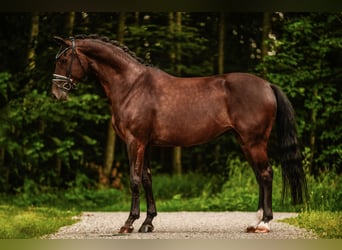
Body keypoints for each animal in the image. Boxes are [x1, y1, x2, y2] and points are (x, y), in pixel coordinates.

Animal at [50, 34, 308, 233]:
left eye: (63, 59)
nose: (55, 94)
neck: (132, 86)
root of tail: (267, 85)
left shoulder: (135, 142)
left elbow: (134, 180)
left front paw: (129, 223)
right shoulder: (147, 144)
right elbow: (147, 179)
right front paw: (148, 222)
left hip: (254, 142)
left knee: (266, 174)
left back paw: (265, 223)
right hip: (244, 142)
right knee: (259, 176)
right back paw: (255, 221)